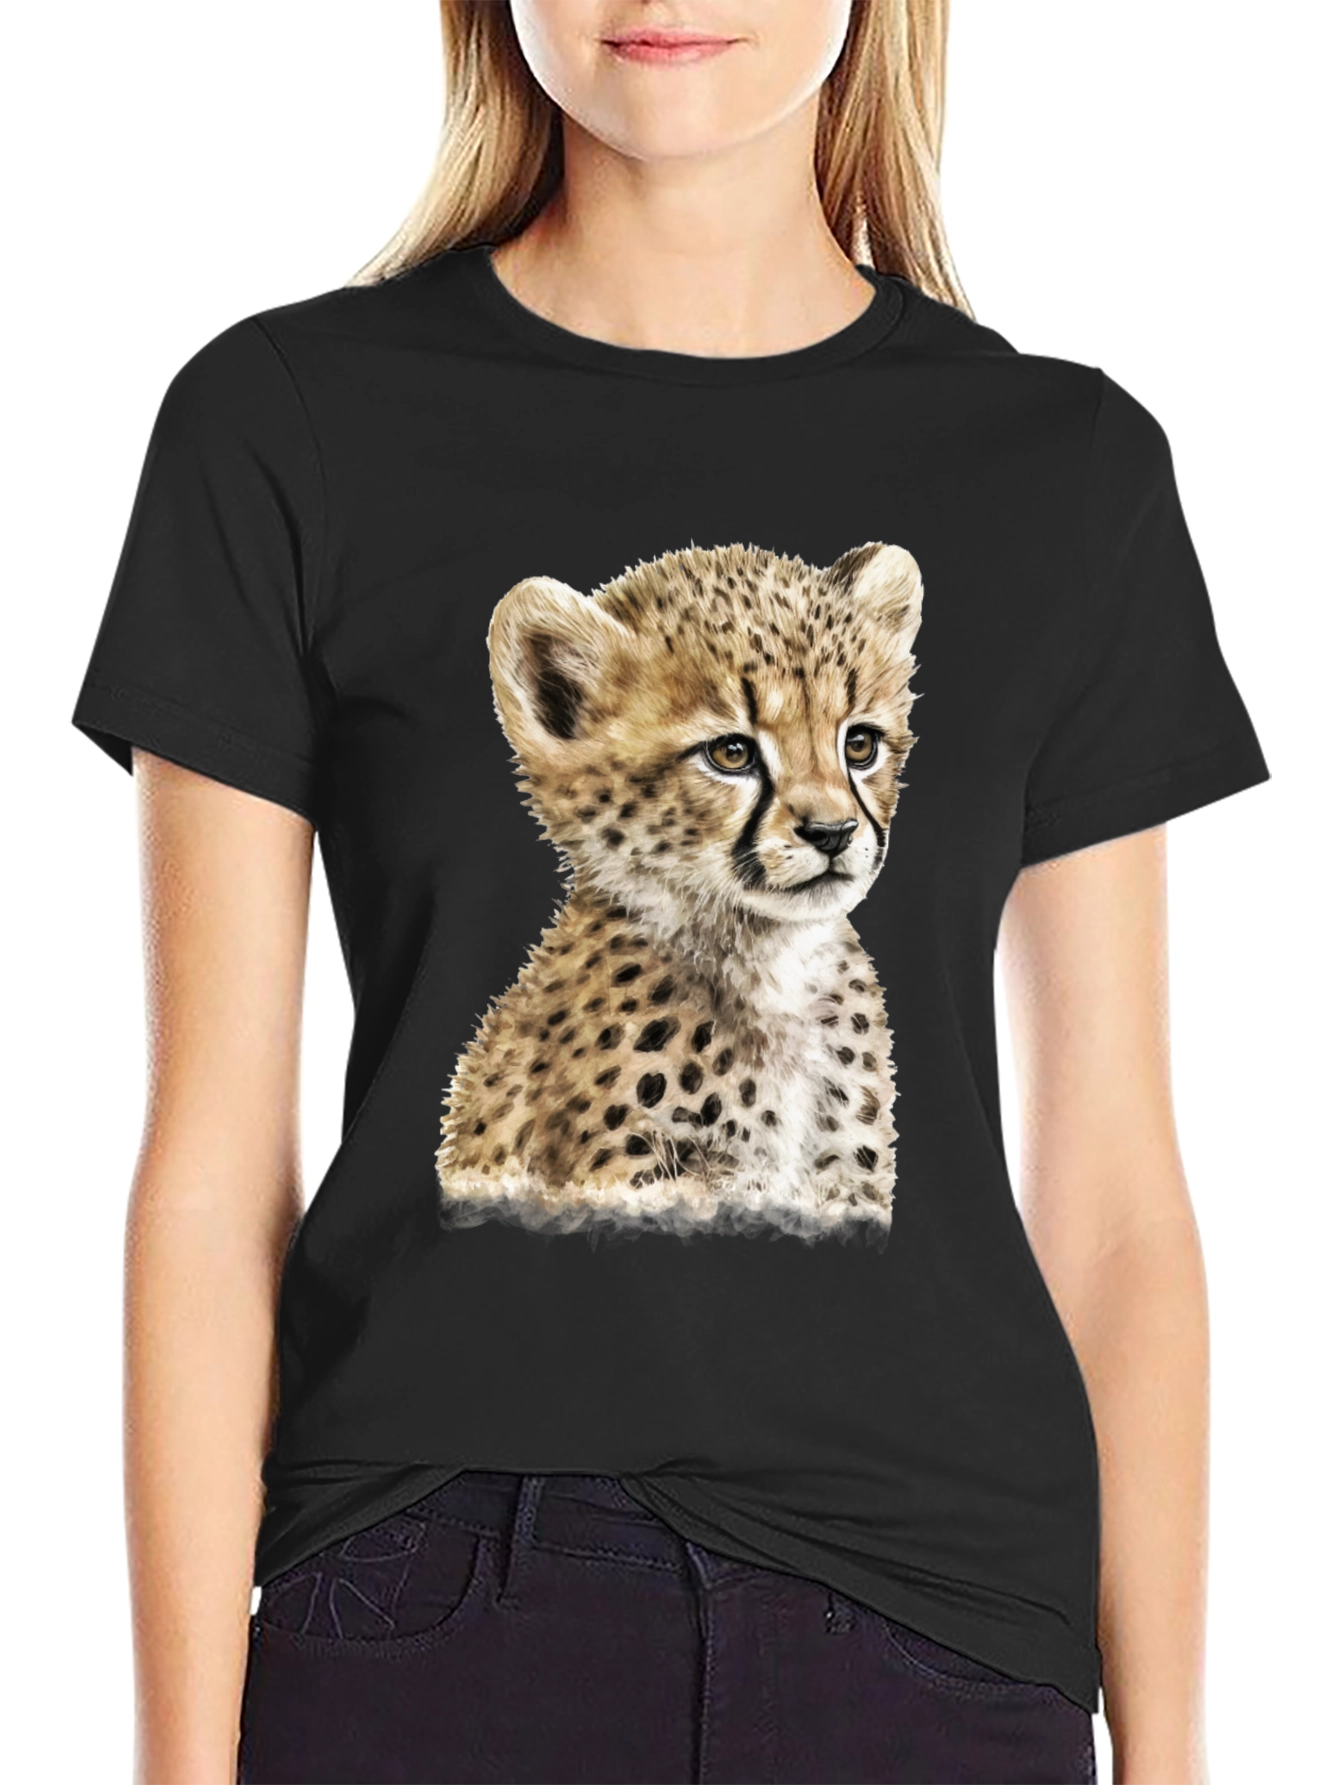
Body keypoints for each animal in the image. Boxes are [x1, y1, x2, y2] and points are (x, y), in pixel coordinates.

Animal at [435, 539, 923, 1232]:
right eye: (730, 754)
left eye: (859, 744)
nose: (832, 832)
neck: (772, 963)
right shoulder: (634, 1182)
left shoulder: (843, 1185)